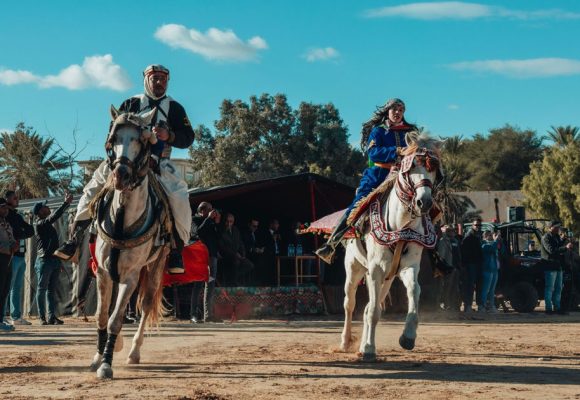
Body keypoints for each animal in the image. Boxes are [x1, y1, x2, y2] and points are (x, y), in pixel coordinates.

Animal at [89, 105, 172, 378]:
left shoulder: (131, 276)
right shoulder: (103, 272)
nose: (120, 175)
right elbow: (102, 316)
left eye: (140, 141)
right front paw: (99, 356)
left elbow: (115, 320)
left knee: (145, 306)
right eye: (113, 139)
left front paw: (106, 364)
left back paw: (134, 351)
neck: (122, 218)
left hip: (156, 266)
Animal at [340, 133, 440, 360]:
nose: (424, 202)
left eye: (433, 169)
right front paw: (369, 349)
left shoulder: (408, 267)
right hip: (354, 268)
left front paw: (408, 337)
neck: (400, 224)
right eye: (411, 168)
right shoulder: (375, 269)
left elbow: (414, 292)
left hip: (386, 278)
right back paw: (345, 342)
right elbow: (373, 312)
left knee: (368, 307)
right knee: (350, 304)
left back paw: (360, 345)